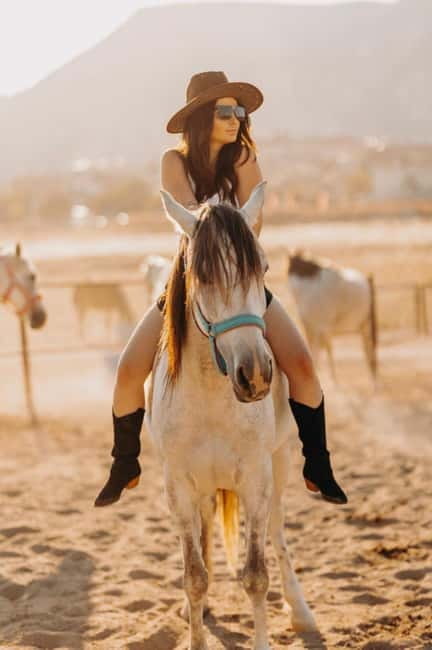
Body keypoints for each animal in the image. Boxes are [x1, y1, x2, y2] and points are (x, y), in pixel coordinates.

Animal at [146, 183, 317, 650]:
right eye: (202, 276)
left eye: (264, 268)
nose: (255, 375)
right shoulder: (179, 485)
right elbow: (194, 576)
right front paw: (195, 629)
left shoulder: (256, 478)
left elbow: (256, 575)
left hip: (279, 464)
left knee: (277, 532)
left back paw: (301, 610)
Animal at [287, 250, 377, 381]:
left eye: (292, 266)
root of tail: (368, 279)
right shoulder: (310, 328)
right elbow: (317, 351)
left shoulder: (322, 328)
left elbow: (324, 351)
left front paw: (334, 381)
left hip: (367, 328)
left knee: (370, 355)